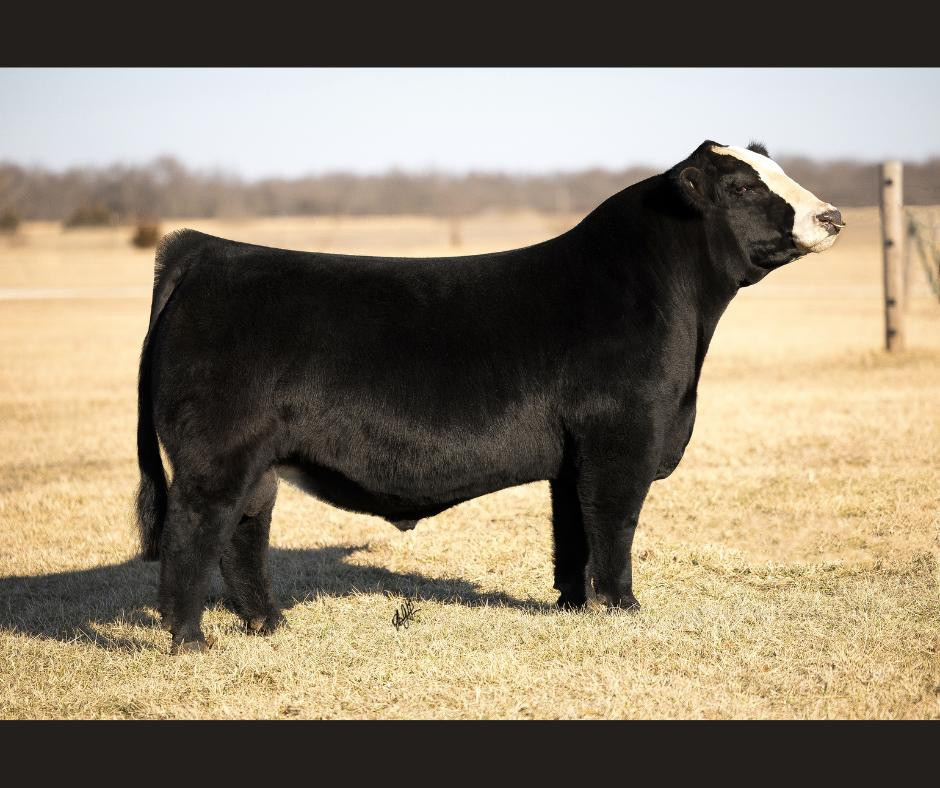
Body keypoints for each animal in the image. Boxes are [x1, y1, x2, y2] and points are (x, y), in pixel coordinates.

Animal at [136, 140, 843, 653]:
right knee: (192, 536)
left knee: (243, 534)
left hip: (255, 464)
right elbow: (614, 524)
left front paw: (573, 606)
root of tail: (206, 249)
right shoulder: (622, 439)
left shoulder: (574, 458)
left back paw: (269, 625)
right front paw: (622, 607)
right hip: (215, 459)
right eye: (745, 187)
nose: (832, 216)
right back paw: (190, 639)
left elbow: (572, 532)